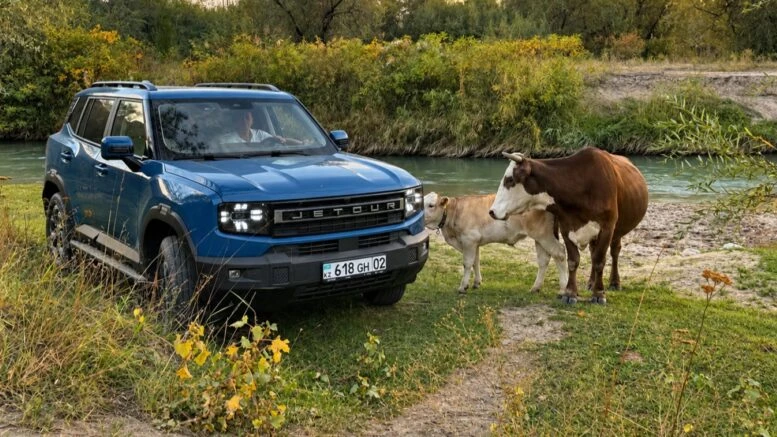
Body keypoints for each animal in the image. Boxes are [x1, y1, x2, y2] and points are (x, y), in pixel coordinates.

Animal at [424, 192, 568, 294]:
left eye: (431, 205)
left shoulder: (469, 240)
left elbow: (467, 263)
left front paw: (463, 287)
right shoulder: (475, 243)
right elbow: (476, 262)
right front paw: (477, 283)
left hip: (545, 236)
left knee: (560, 253)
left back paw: (562, 289)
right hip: (539, 238)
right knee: (544, 260)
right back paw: (535, 288)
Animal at [488, 147, 648, 304]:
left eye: (509, 180)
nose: (492, 211)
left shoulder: (607, 228)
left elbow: (599, 261)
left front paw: (599, 294)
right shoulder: (566, 226)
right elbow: (573, 261)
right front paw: (570, 293)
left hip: (617, 230)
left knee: (614, 252)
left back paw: (614, 282)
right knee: (593, 251)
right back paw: (591, 282)